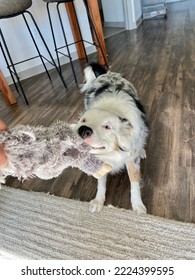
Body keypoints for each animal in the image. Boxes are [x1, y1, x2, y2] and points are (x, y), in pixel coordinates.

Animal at [74, 63, 148, 212]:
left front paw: (137, 205)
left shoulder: (132, 158)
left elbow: (134, 182)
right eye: (83, 120)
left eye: (107, 126)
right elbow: (101, 182)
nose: (83, 130)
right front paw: (98, 200)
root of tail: (106, 73)